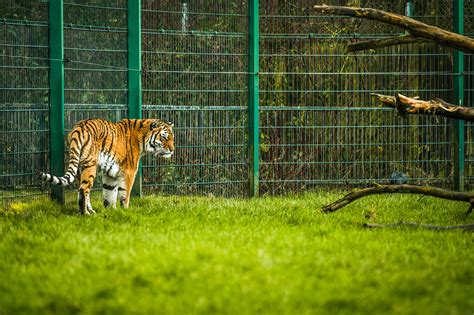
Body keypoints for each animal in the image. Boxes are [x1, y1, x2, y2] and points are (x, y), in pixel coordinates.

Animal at [37, 118, 174, 215]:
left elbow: (109, 194)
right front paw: (125, 210)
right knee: (84, 189)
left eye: (173, 137)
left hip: (78, 168)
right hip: (90, 164)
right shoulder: (129, 172)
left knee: (83, 190)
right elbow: (125, 194)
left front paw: (112, 211)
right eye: (164, 137)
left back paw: (90, 211)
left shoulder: (110, 173)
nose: (172, 150)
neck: (143, 140)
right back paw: (85, 214)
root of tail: (79, 127)